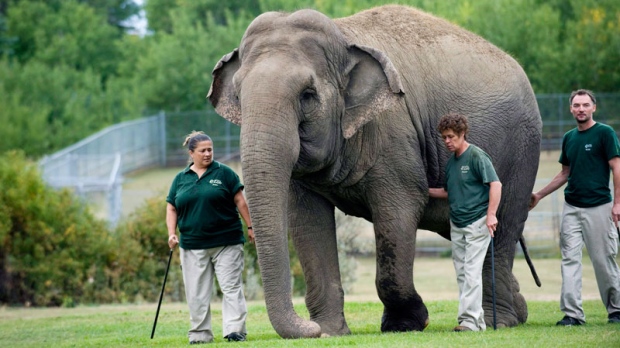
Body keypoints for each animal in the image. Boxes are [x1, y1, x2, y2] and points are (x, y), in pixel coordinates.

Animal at [208, 4, 544, 338]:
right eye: (238, 95)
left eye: (308, 95)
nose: (309, 327)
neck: (343, 35)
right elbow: (307, 221)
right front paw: (329, 331)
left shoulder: (393, 134)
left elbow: (398, 211)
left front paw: (406, 324)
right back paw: (518, 312)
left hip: (521, 152)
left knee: (502, 229)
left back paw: (500, 320)